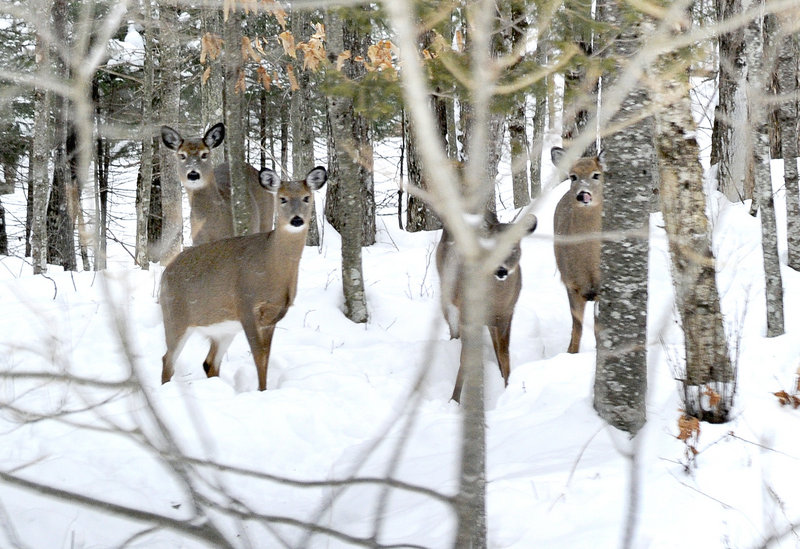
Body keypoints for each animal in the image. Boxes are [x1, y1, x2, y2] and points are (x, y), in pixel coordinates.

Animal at [159, 164, 328, 390]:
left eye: (306, 197)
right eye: (282, 198)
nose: (297, 219)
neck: (272, 267)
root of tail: (165, 273)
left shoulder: (272, 317)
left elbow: (265, 357)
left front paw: (263, 389)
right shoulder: (246, 306)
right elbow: (258, 356)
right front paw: (261, 391)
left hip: (223, 330)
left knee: (209, 362)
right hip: (175, 319)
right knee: (167, 361)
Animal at [438, 211, 536, 402]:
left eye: (514, 246)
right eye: (491, 245)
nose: (501, 270)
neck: (496, 301)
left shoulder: (507, 313)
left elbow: (504, 353)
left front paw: (507, 387)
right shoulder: (467, 315)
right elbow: (466, 358)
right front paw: (454, 400)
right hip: (447, 297)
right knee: (454, 333)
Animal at [552, 146, 608, 354]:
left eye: (596, 175)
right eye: (573, 176)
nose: (583, 195)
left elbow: (598, 326)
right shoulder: (571, 283)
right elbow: (577, 326)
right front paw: (571, 353)